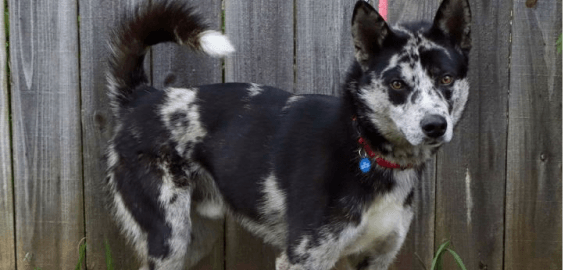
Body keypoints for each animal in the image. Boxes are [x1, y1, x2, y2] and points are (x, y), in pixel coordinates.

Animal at [104, 0, 472, 268]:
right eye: (397, 83)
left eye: (446, 78)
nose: (435, 125)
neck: (363, 147)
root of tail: (142, 98)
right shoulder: (303, 258)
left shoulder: (376, 258)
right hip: (170, 238)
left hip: (195, 239)